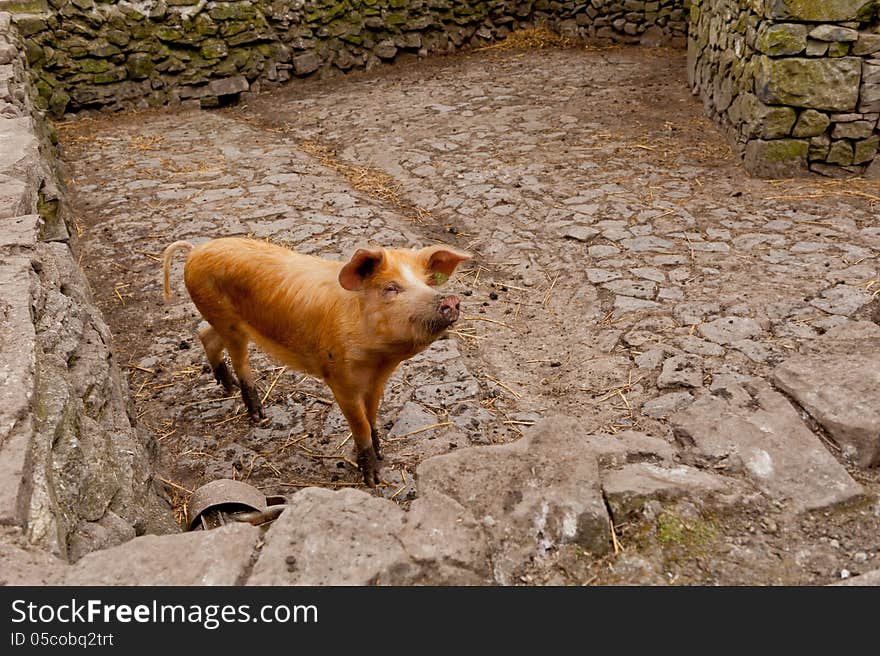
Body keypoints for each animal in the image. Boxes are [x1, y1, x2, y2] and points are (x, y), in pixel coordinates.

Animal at [162, 238, 470, 484]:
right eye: (391, 288)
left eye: (428, 282)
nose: (450, 299)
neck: (380, 359)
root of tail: (195, 250)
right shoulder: (340, 379)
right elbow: (359, 424)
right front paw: (372, 479)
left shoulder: (377, 381)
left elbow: (372, 417)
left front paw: (382, 453)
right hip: (228, 322)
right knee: (239, 361)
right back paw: (258, 415)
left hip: (225, 321)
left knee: (205, 335)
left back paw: (227, 388)